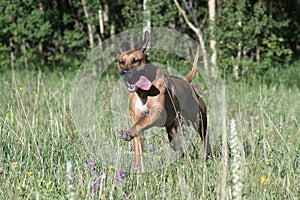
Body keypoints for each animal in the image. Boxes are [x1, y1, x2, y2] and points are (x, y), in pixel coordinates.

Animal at [117, 31, 211, 169]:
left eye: (136, 60)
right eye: (121, 62)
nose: (124, 72)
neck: (143, 92)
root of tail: (187, 83)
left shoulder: (156, 114)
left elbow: (141, 123)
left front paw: (128, 132)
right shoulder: (136, 118)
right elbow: (138, 142)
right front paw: (137, 168)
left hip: (199, 121)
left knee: (205, 136)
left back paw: (207, 156)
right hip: (173, 130)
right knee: (177, 146)